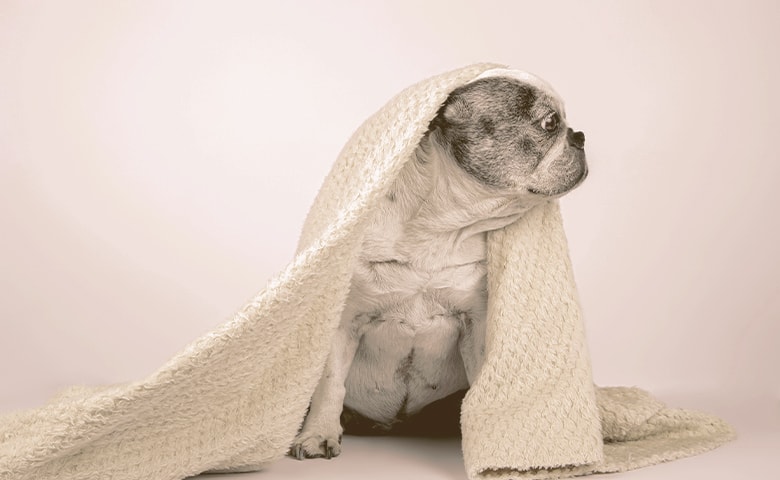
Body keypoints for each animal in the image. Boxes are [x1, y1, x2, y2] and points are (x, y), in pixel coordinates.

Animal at [290, 69, 584, 460]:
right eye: (549, 123)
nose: (580, 136)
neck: (438, 232)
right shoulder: (341, 322)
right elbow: (329, 384)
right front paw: (318, 434)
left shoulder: (475, 325)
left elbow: (482, 380)